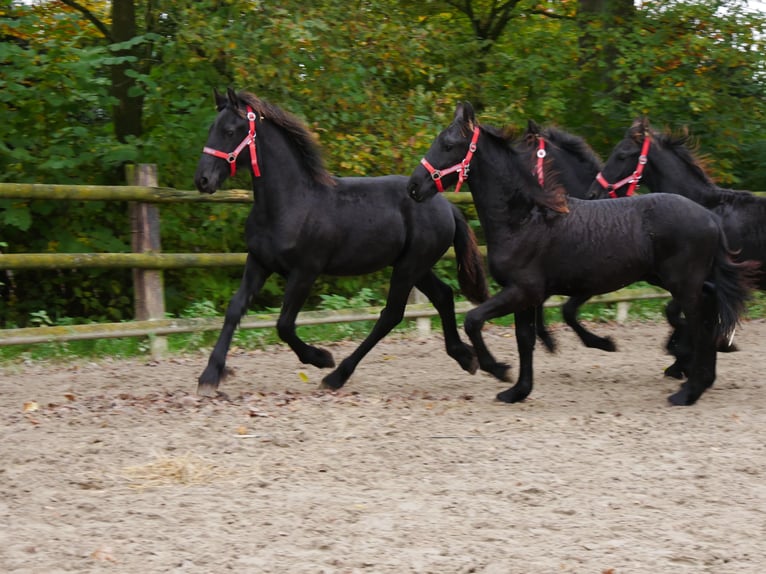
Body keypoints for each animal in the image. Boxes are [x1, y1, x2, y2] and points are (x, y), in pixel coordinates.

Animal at [195, 89, 488, 396]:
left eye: (229, 131)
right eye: (212, 128)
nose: (202, 180)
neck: (290, 203)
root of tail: (446, 206)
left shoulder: (305, 272)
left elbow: (284, 324)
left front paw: (321, 357)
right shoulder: (259, 262)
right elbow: (234, 310)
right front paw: (210, 376)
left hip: (410, 266)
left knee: (391, 314)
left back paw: (336, 375)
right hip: (416, 267)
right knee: (443, 295)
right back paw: (465, 357)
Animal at [408, 104, 756, 410]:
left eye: (449, 145)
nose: (414, 186)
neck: (524, 219)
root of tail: (709, 217)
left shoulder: (523, 291)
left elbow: (474, 320)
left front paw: (496, 369)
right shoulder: (526, 295)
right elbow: (525, 338)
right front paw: (518, 391)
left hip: (683, 284)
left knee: (699, 322)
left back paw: (688, 391)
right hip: (682, 281)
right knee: (709, 312)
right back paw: (701, 377)